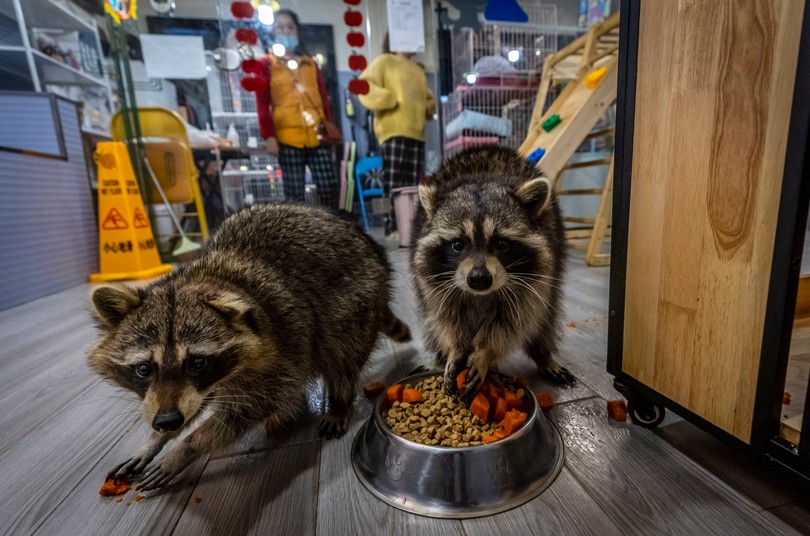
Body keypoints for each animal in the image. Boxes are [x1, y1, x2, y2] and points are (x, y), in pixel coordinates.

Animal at [87, 204, 410, 490]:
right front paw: (155, 440)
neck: (203, 279)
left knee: (342, 355)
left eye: (196, 362)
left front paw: (186, 447)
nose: (166, 422)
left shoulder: (279, 352)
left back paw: (339, 402)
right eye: (144, 369)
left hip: (356, 302)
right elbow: (188, 403)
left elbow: (251, 407)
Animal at [410, 144, 568, 400]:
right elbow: (446, 316)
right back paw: (438, 356)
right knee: (432, 321)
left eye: (501, 244)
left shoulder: (533, 282)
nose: (479, 279)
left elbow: (514, 320)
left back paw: (544, 356)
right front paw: (456, 349)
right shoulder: (434, 281)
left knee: (546, 318)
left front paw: (484, 352)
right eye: (458, 244)